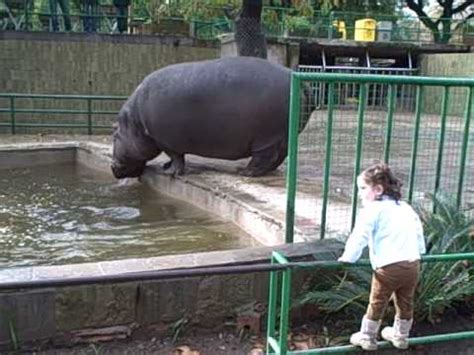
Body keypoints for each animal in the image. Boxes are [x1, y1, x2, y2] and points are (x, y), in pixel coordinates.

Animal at [111, 56, 308, 179]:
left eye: (114, 136)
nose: (112, 167)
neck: (135, 121)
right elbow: (174, 158)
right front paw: (165, 166)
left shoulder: (165, 141)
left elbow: (176, 157)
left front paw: (169, 172)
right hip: (284, 136)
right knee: (278, 156)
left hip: (266, 137)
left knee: (265, 157)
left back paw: (244, 172)